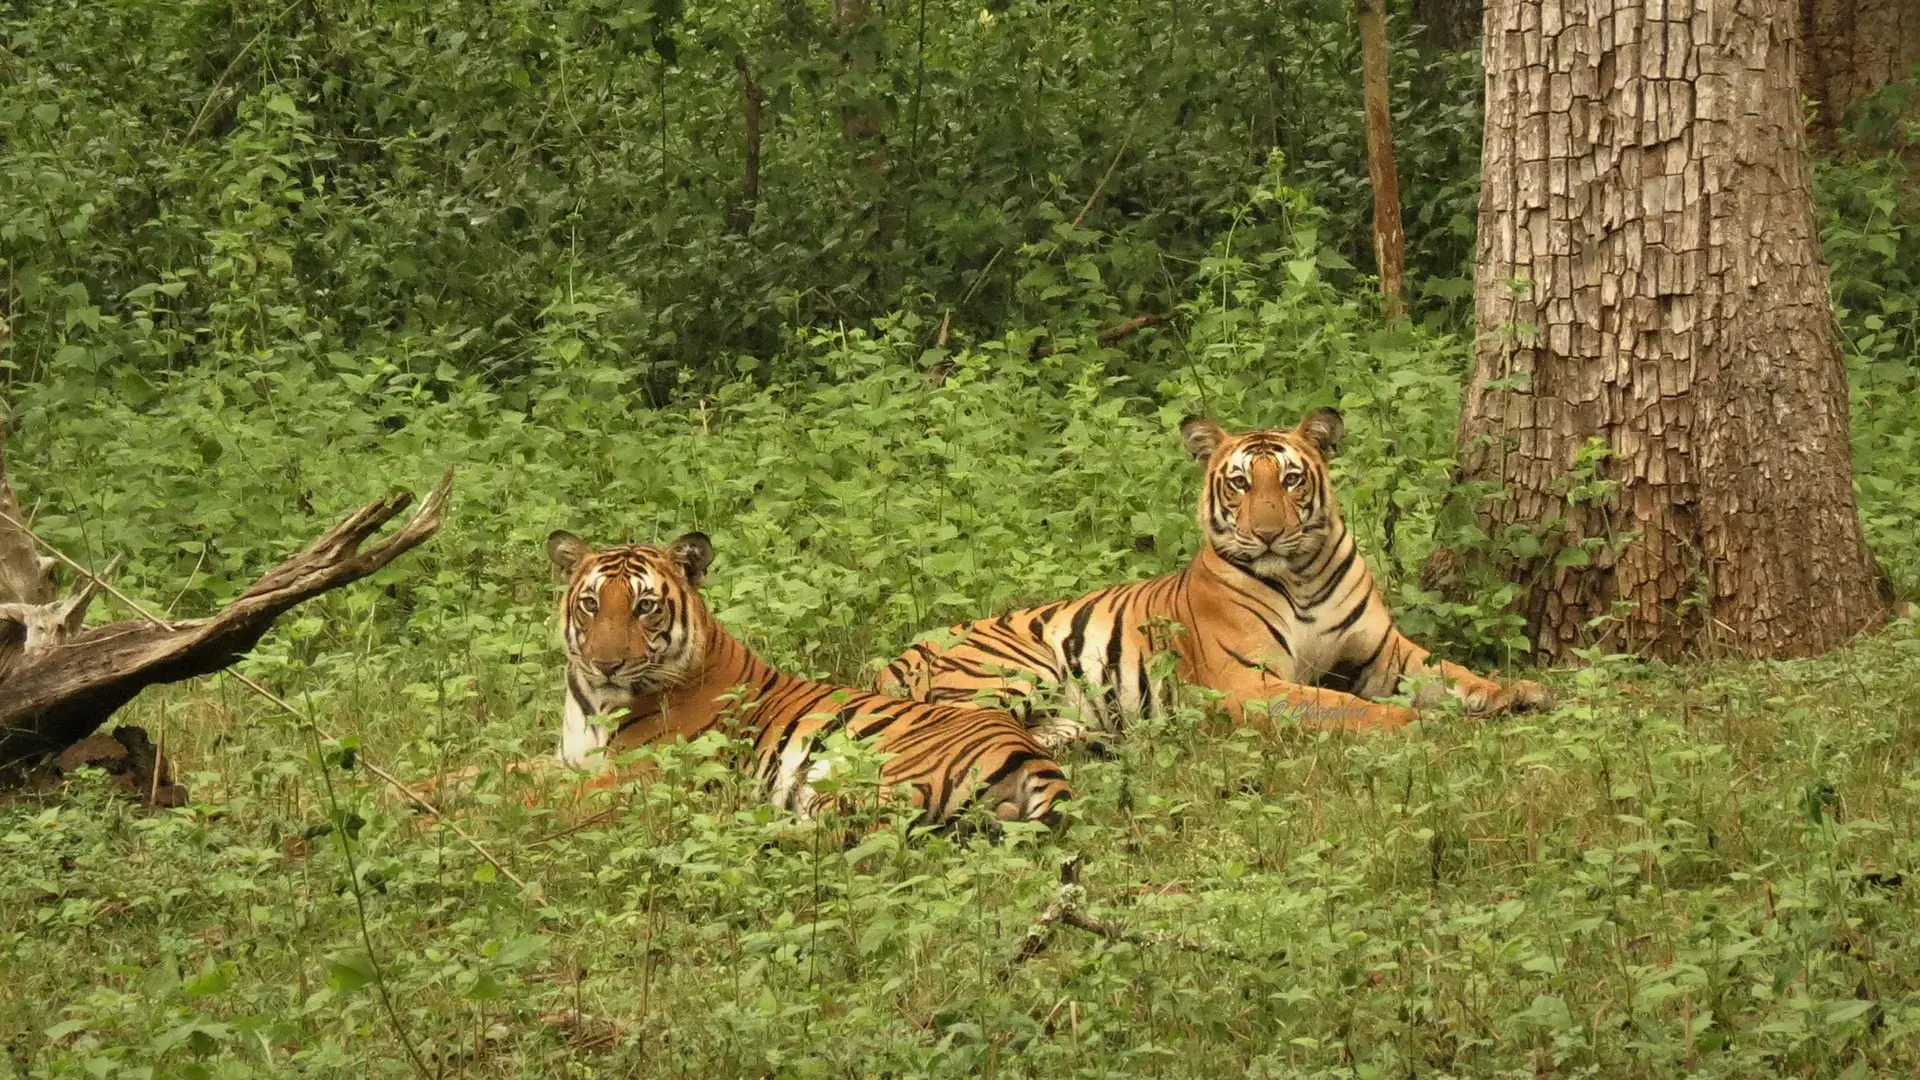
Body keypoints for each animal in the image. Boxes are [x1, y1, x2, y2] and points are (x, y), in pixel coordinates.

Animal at [547, 529, 1072, 829]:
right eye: (591, 604)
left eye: (645, 606)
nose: (606, 664)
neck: (595, 700)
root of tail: (1029, 749)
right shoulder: (567, 759)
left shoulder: (640, 779)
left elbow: (552, 798)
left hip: (868, 779)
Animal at [875, 409, 1548, 749]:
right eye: (1241, 483)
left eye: (1292, 479)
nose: (1270, 533)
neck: (1300, 576)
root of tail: (900, 655)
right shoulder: (1247, 681)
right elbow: (1341, 706)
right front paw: (1415, 724)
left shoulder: (1384, 654)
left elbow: (1454, 674)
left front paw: (1518, 692)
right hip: (1015, 668)